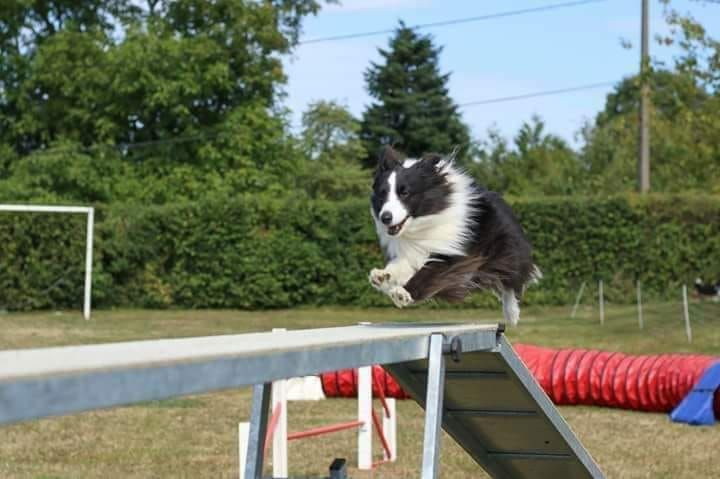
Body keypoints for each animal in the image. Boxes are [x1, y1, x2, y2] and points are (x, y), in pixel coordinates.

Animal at [372, 146, 540, 326]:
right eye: (382, 194)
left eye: (405, 193)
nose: (385, 217)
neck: (424, 221)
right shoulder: (414, 251)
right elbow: (401, 265)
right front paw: (382, 276)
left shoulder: (454, 252)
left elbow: (430, 273)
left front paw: (402, 293)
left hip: (506, 249)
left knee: (513, 280)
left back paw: (511, 313)